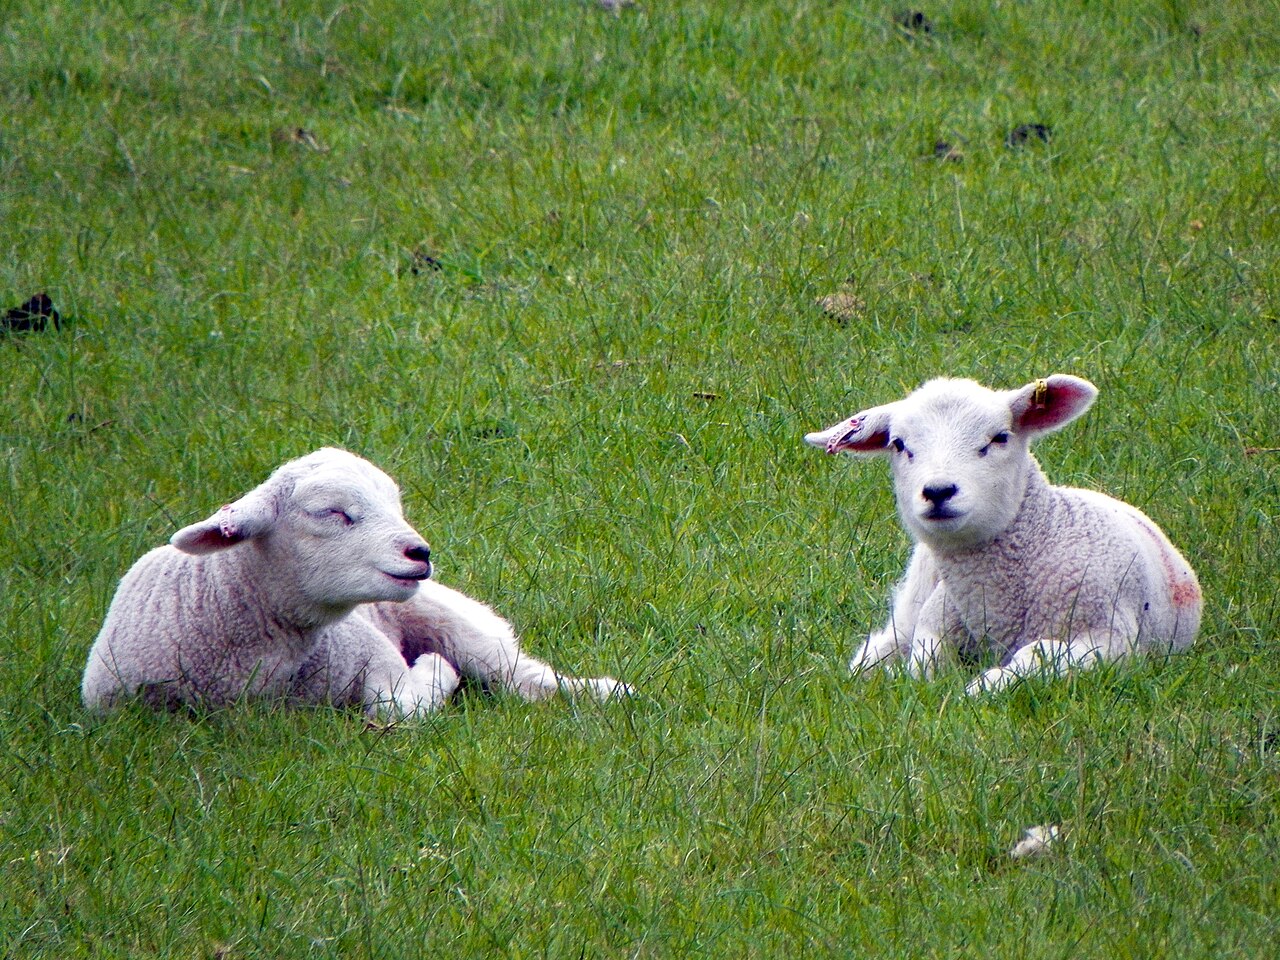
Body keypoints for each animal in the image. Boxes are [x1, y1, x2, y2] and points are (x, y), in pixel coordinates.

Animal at [82, 448, 628, 717]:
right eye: (333, 513)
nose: (420, 553)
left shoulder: (378, 661)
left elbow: (402, 708)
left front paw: (436, 670)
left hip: (454, 620)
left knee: (521, 676)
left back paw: (603, 692)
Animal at [804, 375, 1202, 694]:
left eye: (999, 438)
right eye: (899, 444)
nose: (938, 491)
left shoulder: (1109, 641)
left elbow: (1035, 657)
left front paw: (980, 688)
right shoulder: (935, 620)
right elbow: (922, 661)